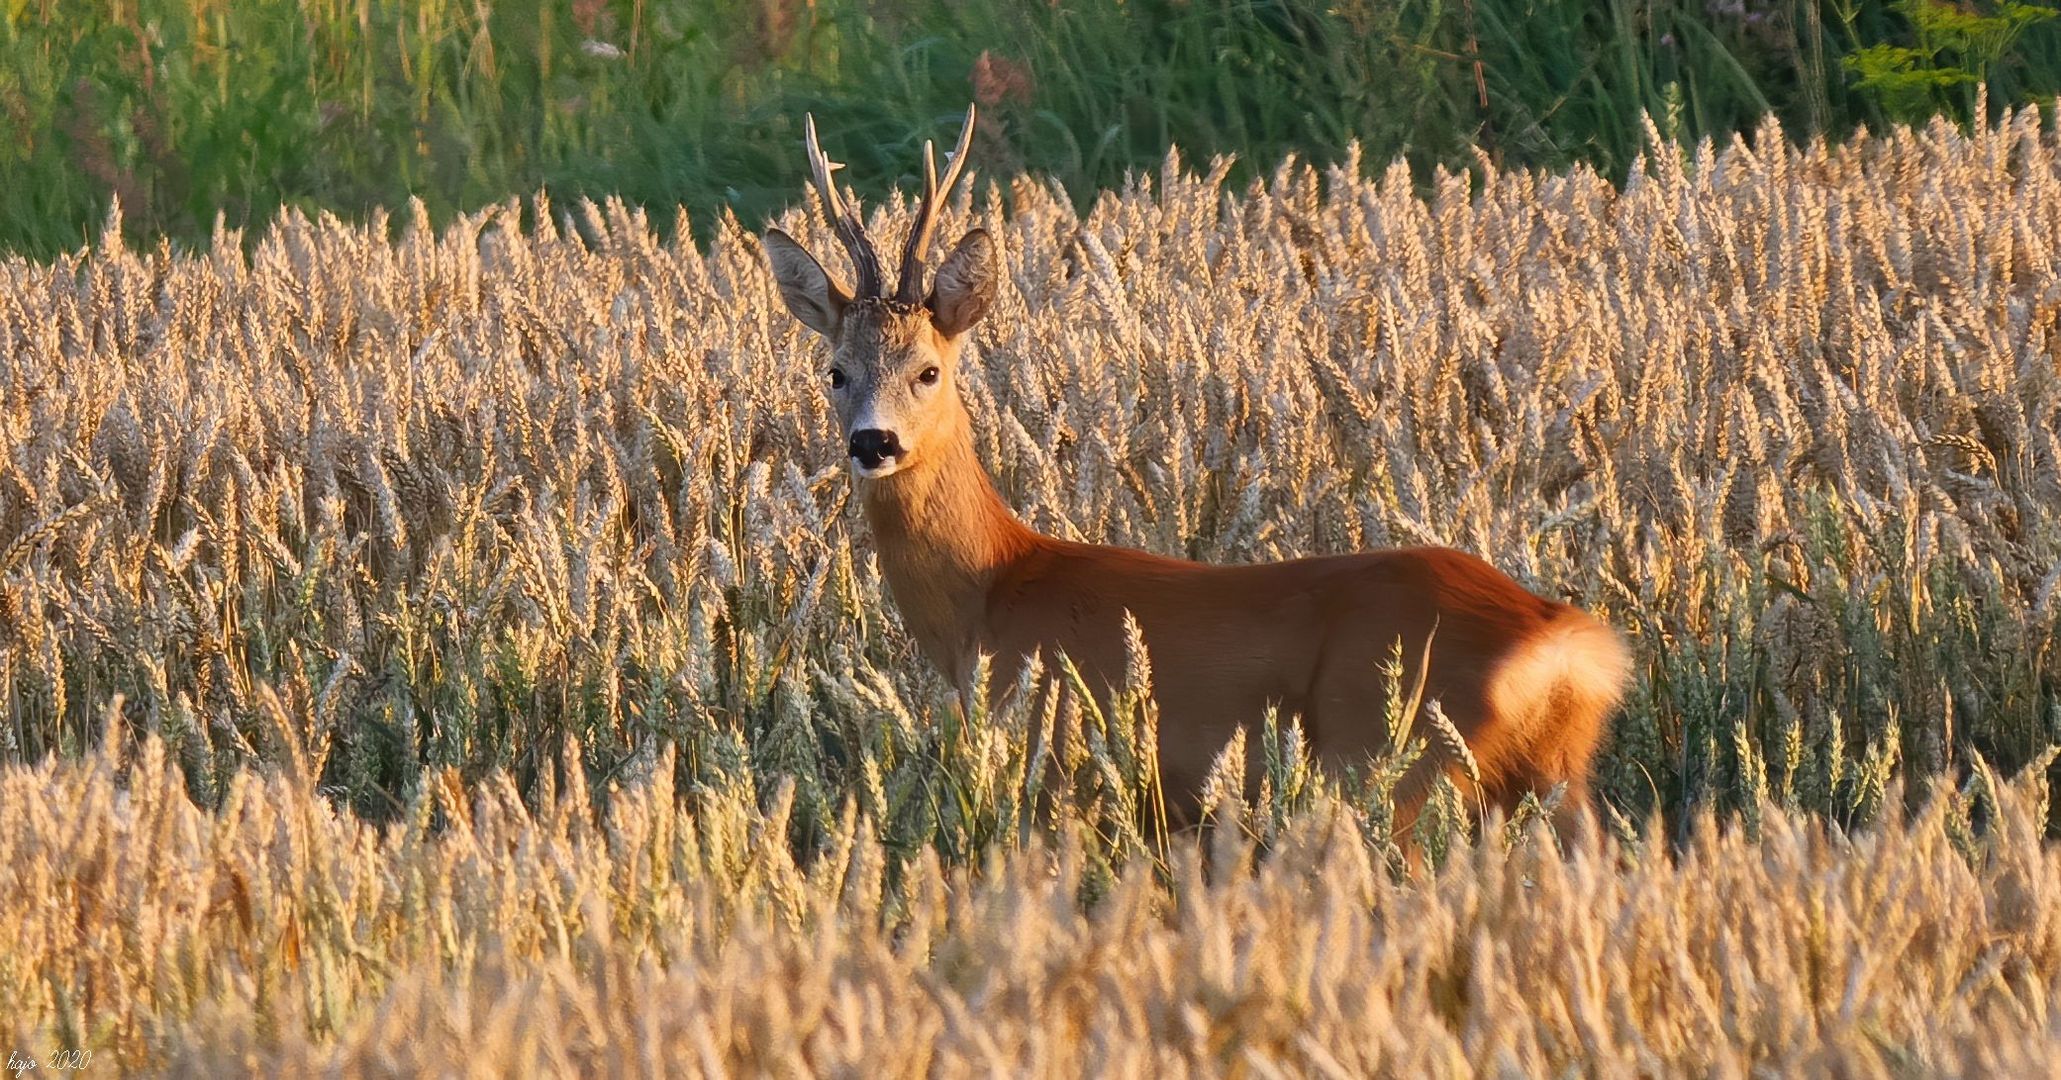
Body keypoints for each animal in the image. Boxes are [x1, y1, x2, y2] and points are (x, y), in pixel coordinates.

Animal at [766, 105, 1632, 840]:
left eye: (928, 370)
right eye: (835, 372)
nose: (873, 443)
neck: (991, 594)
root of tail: (1562, 639)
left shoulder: (1054, 768)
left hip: (1390, 766)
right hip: (1552, 779)